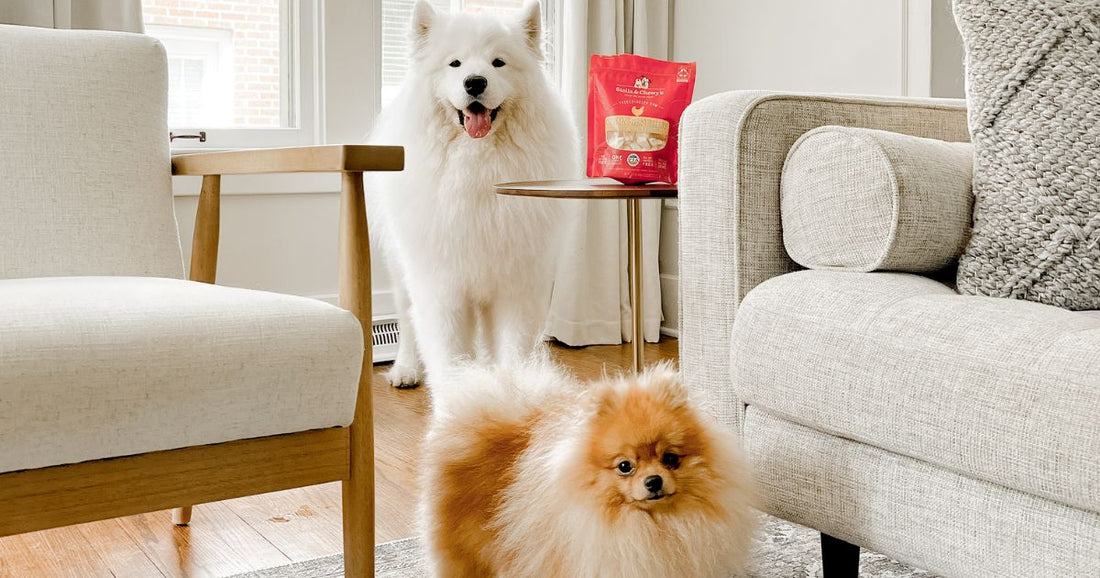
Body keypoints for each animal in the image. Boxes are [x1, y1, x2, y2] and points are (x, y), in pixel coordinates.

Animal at [367, 2, 576, 387]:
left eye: (498, 62)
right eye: (455, 63)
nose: (475, 82)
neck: (478, 166)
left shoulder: (516, 287)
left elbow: (513, 352)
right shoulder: (442, 287)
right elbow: (450, 358)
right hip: (402, 270)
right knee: (406, 321)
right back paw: (406, 369)